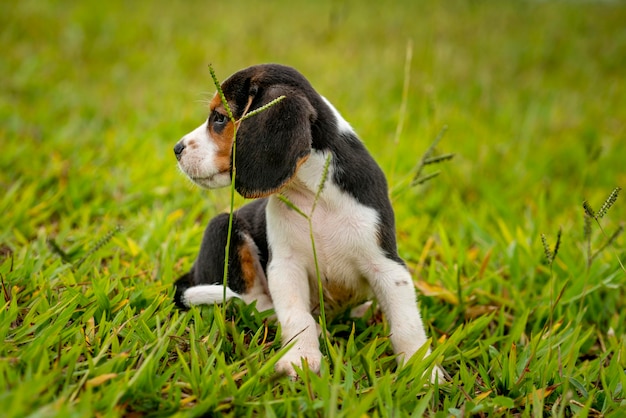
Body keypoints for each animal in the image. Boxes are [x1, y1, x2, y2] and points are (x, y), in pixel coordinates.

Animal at [173, 63, 436, 380]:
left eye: (219, 118)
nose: (176, 148)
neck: (314, 195)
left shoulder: (386, 265)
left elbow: (406, 324)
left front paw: (422, 371)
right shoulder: (286, 267)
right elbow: (296, 317)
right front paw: (300, 358)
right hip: (223, 227)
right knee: (251, 301)